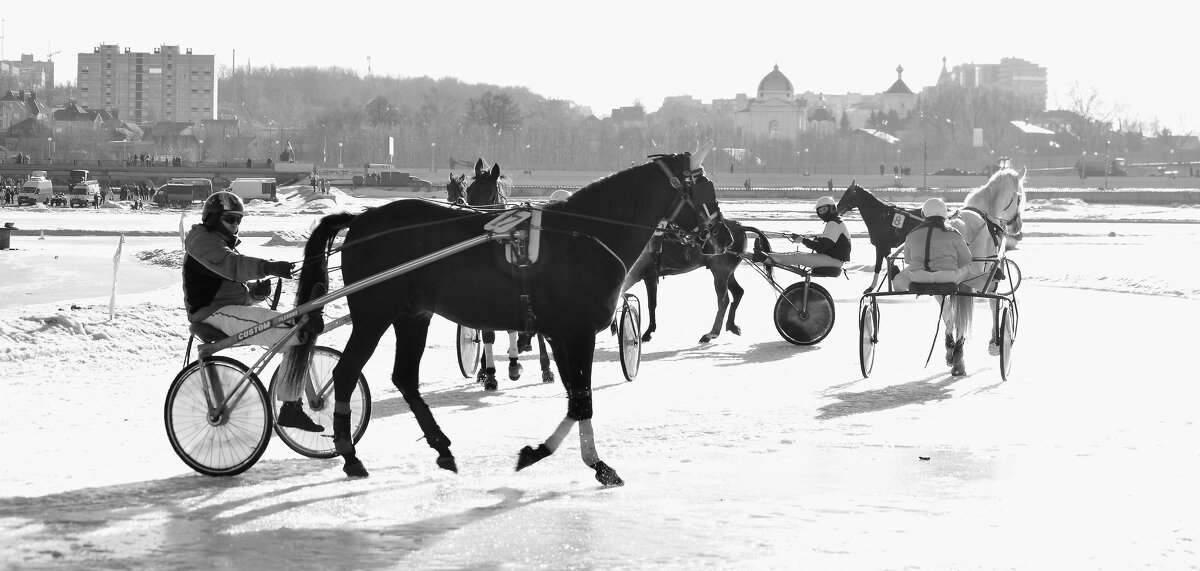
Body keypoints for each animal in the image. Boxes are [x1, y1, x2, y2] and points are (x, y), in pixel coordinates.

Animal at [283, 140, 729, 484]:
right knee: (346, 373)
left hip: (413, 315)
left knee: (404, 378)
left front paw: (553, 452)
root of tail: (361, 220)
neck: (585, 234)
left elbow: (574, 399)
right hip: (375, 316)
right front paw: (588, 462)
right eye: (706, 188)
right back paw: (350, 455)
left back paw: (441, 447)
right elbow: (582, 401)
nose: (724, 235)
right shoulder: (577, 332)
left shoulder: (561, 333)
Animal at [940, 166, 1027, 374]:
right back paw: (959, 355)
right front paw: (996, 340)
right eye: (1019, 198)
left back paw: (951, 349)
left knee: (947, 315)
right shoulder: (991, 275)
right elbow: (993, 302)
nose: (1018, 227)